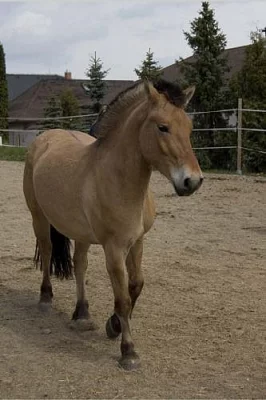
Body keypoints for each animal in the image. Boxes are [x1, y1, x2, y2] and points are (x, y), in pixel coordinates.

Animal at [22, 79, 203, 370]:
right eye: (162, 127)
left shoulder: (137, 241)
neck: (117, 178)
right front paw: (128, 351)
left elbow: (136, 285)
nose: (193, 181)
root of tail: (45, 138)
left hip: (81, 233)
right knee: (48, 252)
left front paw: (113, 325)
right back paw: (46, 298)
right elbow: (123, 298)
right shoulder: (114, 249)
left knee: (80, 264)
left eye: (189, 127)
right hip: (38, 217)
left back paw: (82, 314)